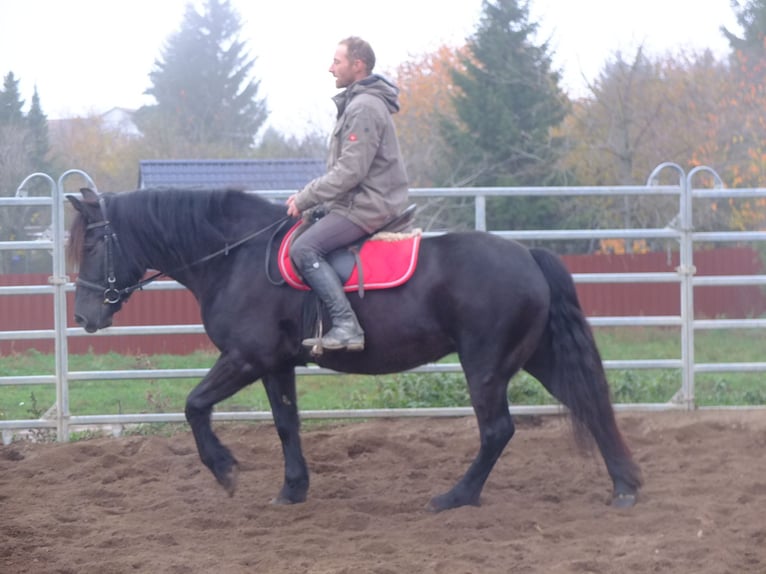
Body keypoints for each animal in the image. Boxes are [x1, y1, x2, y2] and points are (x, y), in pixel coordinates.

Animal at [66, 186, 644, 512]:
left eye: (92, 242)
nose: (85, 317)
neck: (235, 257)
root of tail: (528, 254)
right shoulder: (275, 364)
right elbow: (286, 424)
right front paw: (292, 490)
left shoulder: (246, 358)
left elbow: (194, 406)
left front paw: (225, 470)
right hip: (535, 356)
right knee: (590, 404)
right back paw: (624, 487)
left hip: (485, 365)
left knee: (498, 430)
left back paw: (456, 498)